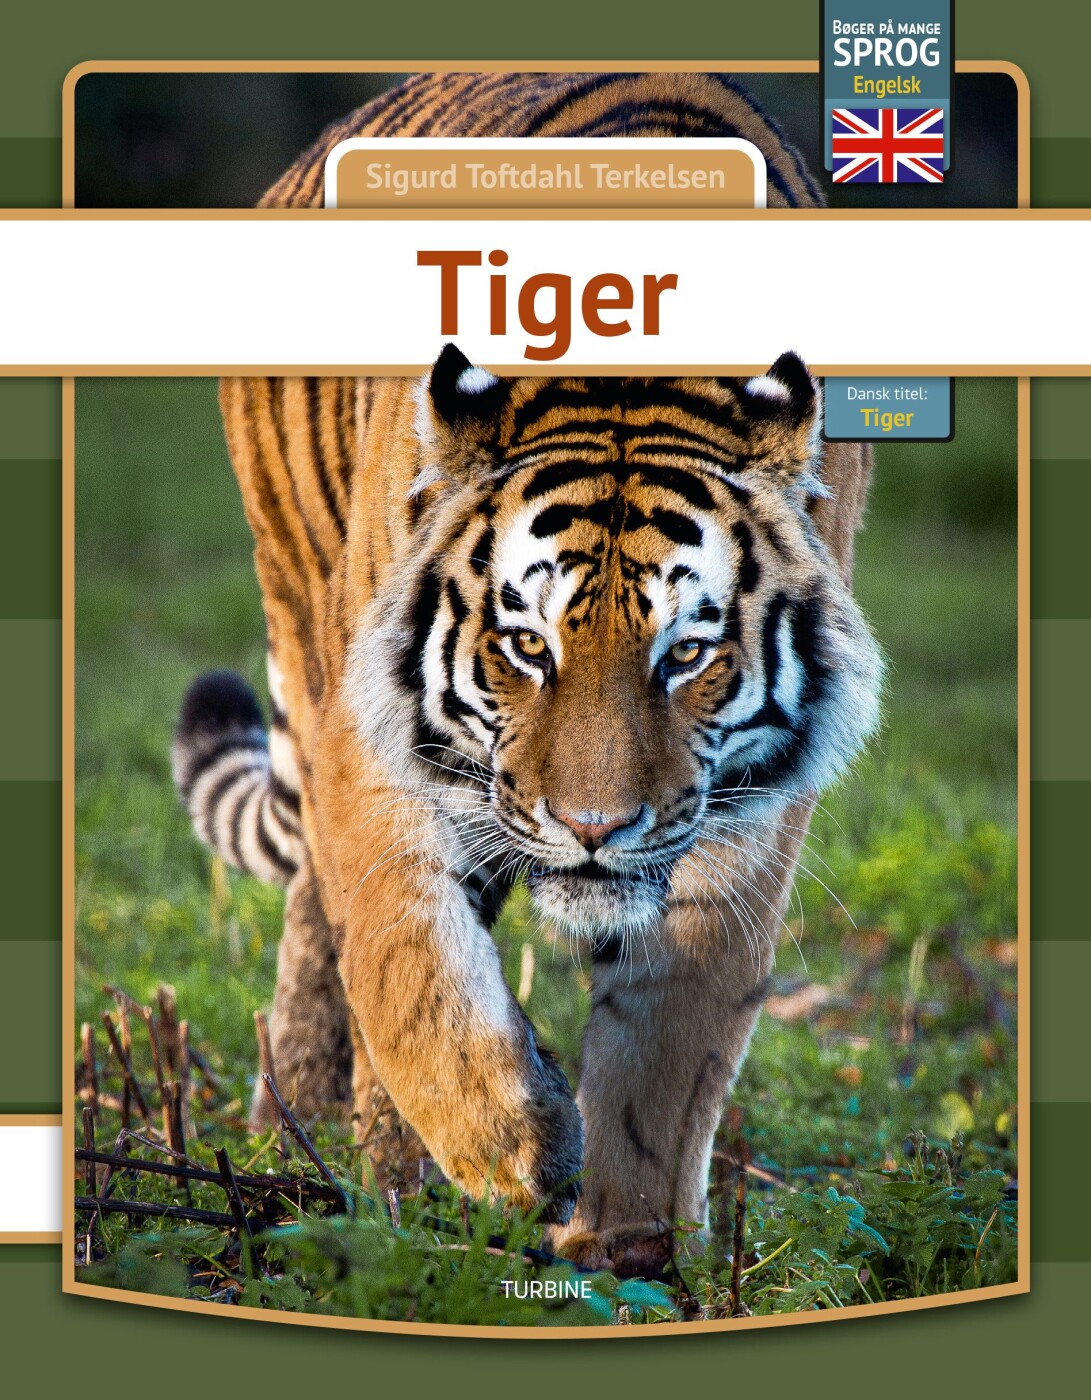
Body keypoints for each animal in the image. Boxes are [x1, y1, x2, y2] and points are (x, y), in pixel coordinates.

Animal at [170, 71, 881, 1276]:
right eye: (527, 645)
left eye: (685, 653)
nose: (592, 829)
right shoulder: (377, 752)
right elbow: (409, 968)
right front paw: (515, 1149)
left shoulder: (744, 814)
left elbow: (673, 1034)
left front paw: (630, 1246)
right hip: (304, 623)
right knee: (332, 920)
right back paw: (347, 1157)